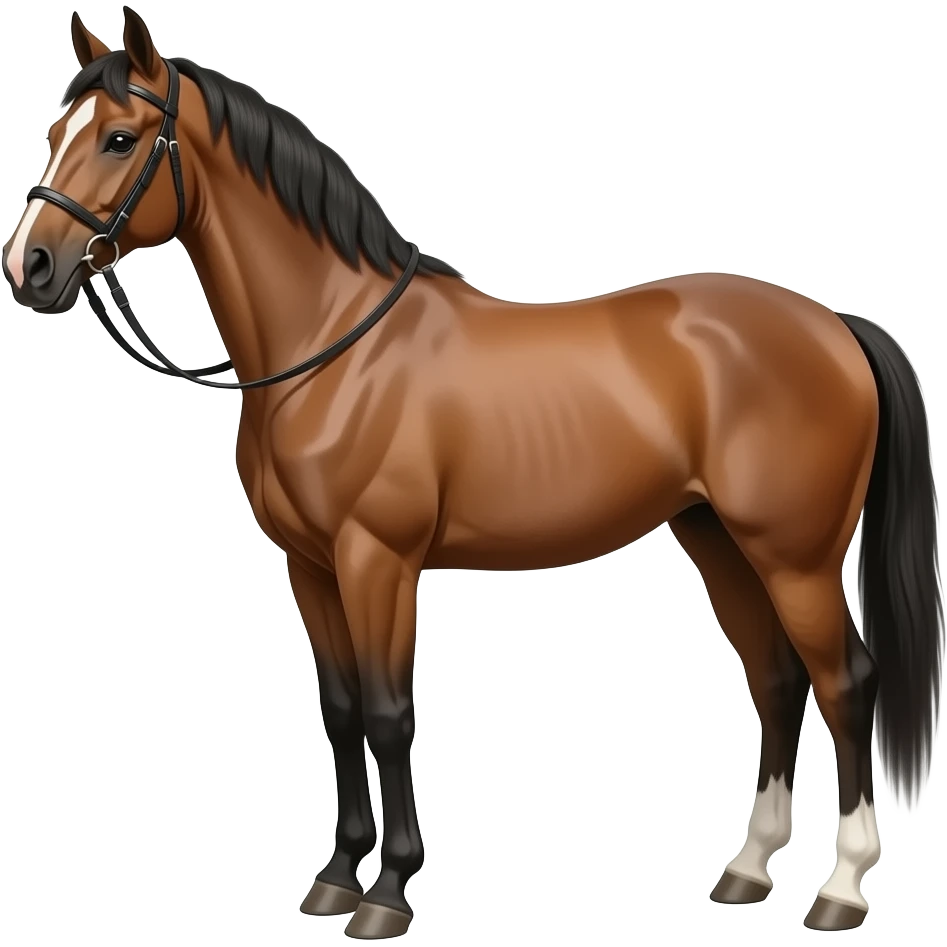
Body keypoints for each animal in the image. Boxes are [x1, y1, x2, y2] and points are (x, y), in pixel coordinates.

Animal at [3, 8, 943, 938]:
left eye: (120, 138)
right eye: (54, 132)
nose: (30, 267)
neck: (334, 342)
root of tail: (837, 325)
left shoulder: (377, 561)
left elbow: (389, 715)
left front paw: (386, 893)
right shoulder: (309, 566)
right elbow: (340, 711)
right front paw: (336, 877)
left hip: (795, 558)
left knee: (845, 683)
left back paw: (840, 888)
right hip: (718, 540)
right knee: (776, 680)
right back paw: (748, 868)